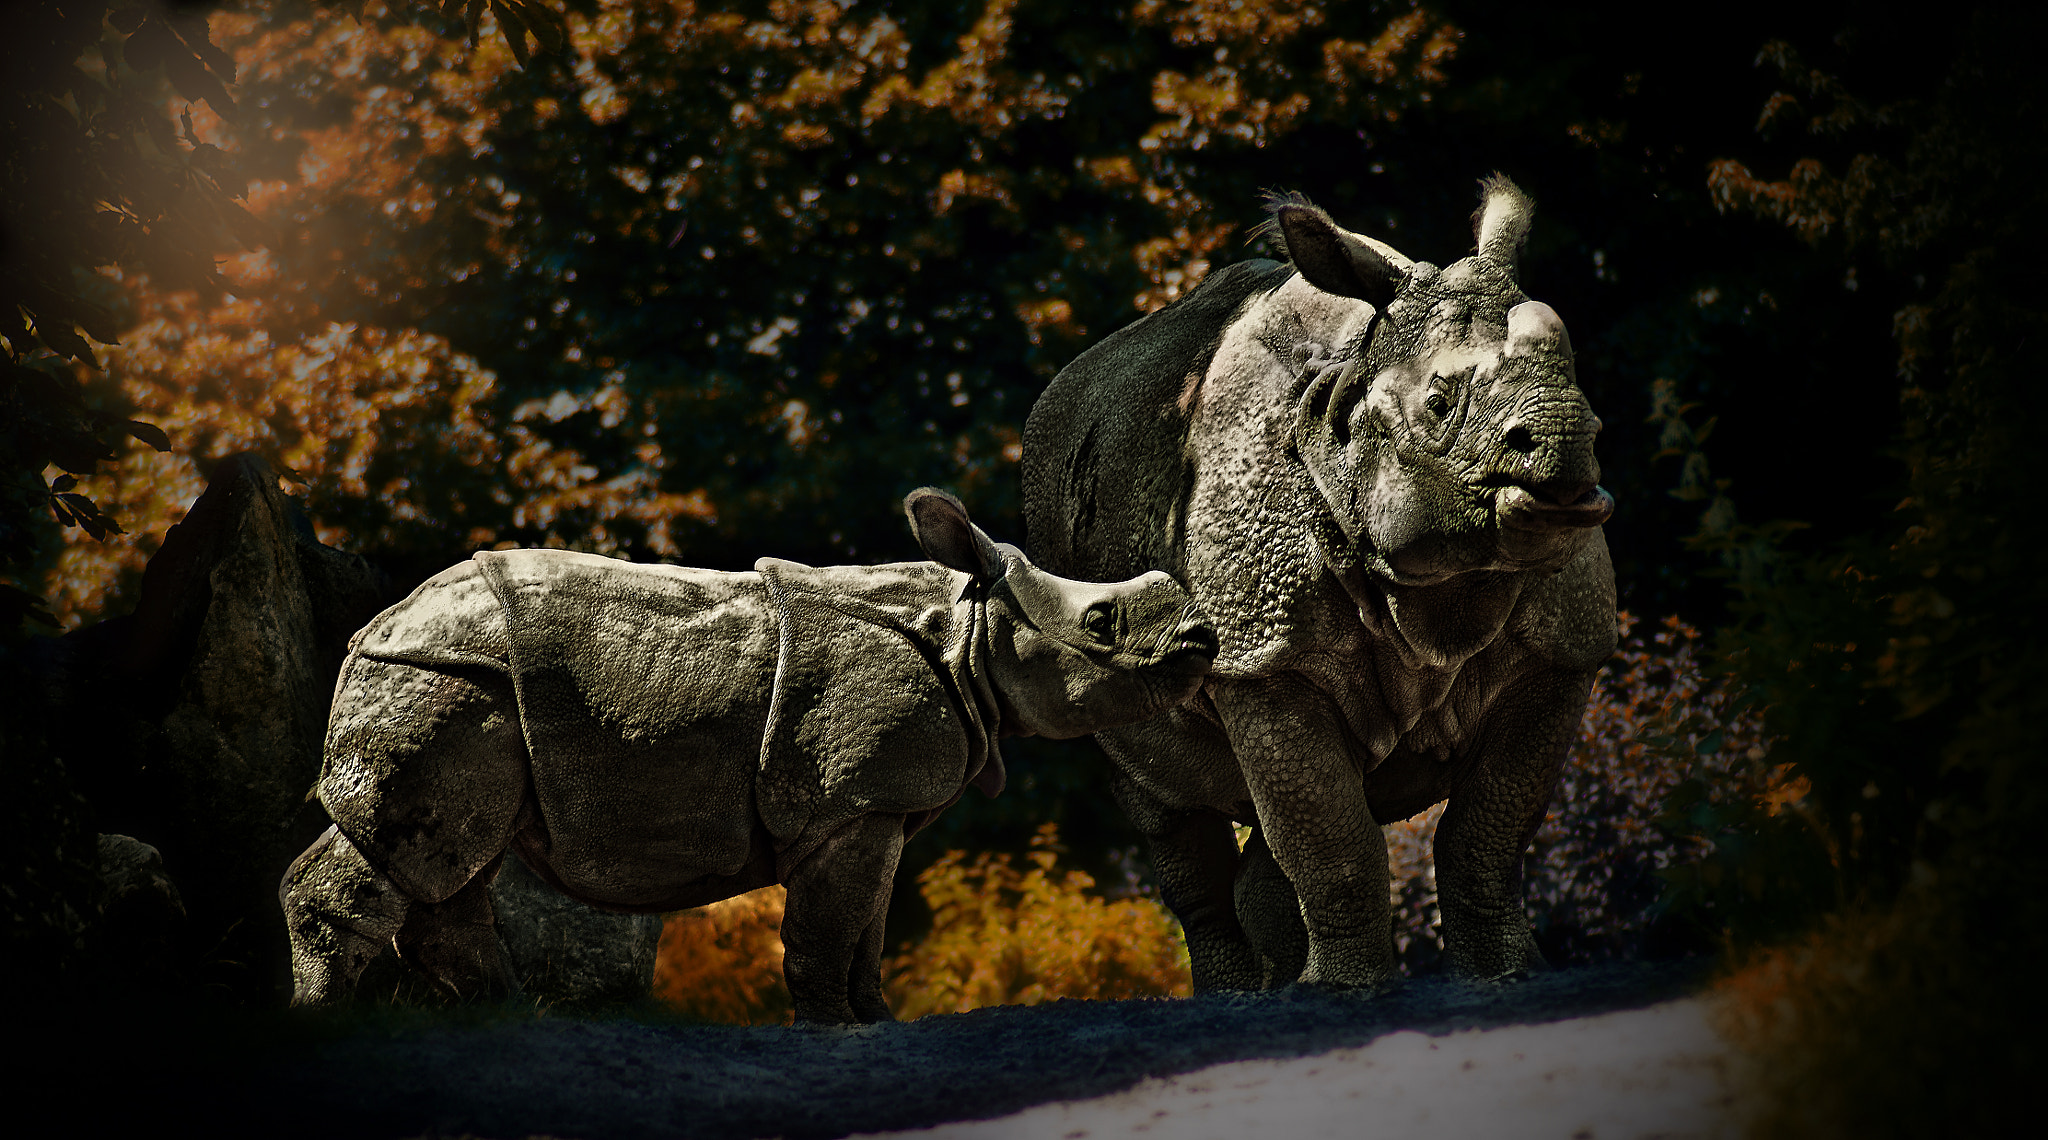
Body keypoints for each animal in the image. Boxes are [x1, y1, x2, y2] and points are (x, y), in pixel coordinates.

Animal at [281, 489, 1216, 1023]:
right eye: (1101, 623)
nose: (1201, 640)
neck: (971, 629)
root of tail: (374, 626)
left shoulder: (873, 808)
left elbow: (869, 926)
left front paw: (873, 1020)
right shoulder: (853, 802)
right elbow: (830, 924)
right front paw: (828, 1027)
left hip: (458, 676)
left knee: (449, 862)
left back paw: (505, 1020)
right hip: (446, 675)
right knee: (416, 849)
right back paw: (318, 1022)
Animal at [1023, 176, 1616, 993]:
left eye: (1582, 387)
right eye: (1438, 406)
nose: (1564, 441)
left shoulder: (1562, 650)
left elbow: (1484, 837)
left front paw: (1507, 976)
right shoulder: (1263, 656)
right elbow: (1332, 841)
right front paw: (1344, 990)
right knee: (1169, 810)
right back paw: (1235, 995)